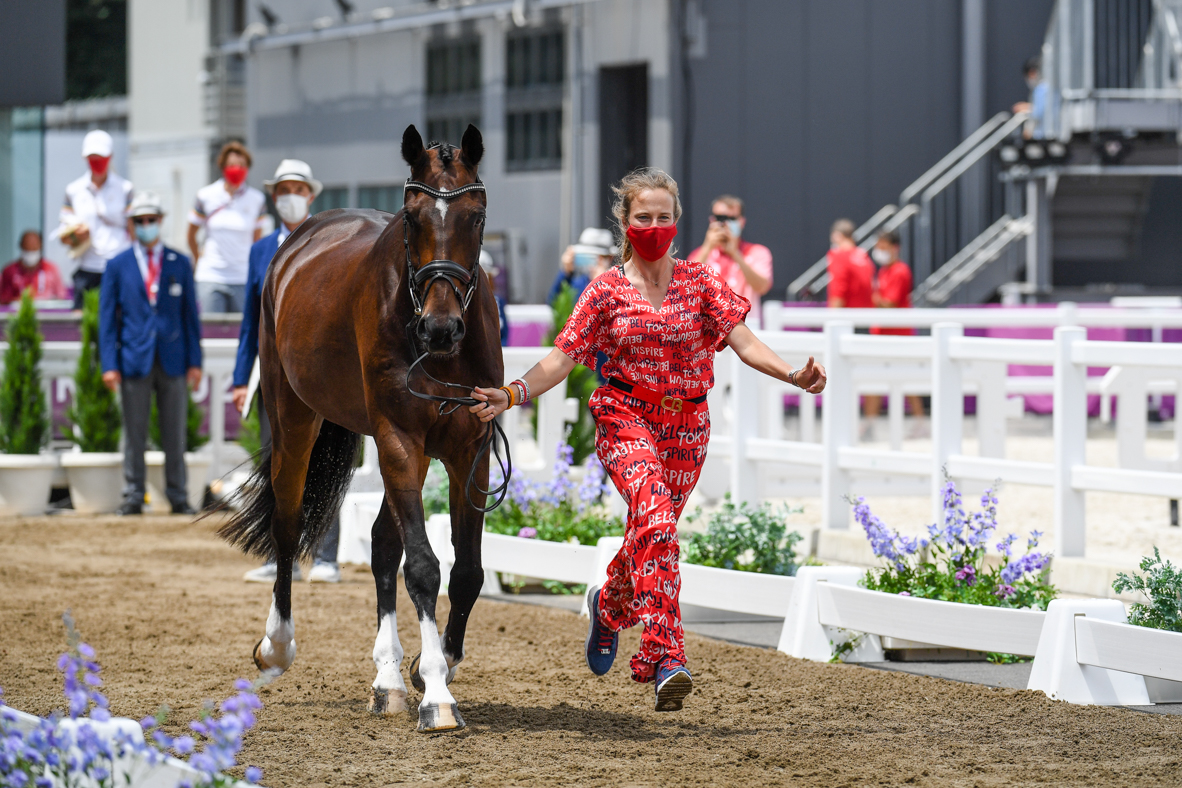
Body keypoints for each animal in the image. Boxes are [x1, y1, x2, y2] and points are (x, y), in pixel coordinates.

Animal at [219, 123, 501, 732]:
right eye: (412, 218)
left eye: (476, 216)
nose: (441, 328)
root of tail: (297, 240)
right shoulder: (399, 437)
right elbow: (424, 567)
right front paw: (436, 693)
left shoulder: (470, 446)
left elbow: (467, 570)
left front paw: (430, 665)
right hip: (298, 419)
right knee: (287, 522)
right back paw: (277, 646)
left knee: (380, 545)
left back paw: (387, 679)